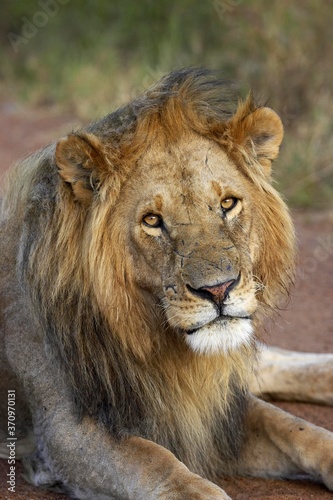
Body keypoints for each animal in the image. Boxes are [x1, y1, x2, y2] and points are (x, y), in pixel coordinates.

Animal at [0, 68, 332, 498]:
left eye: (228, 204)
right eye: (152, 221)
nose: (219, 289)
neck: (159, 345)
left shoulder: (217, 406)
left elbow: (298, 430)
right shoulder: (64, 433)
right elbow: (160, 466)